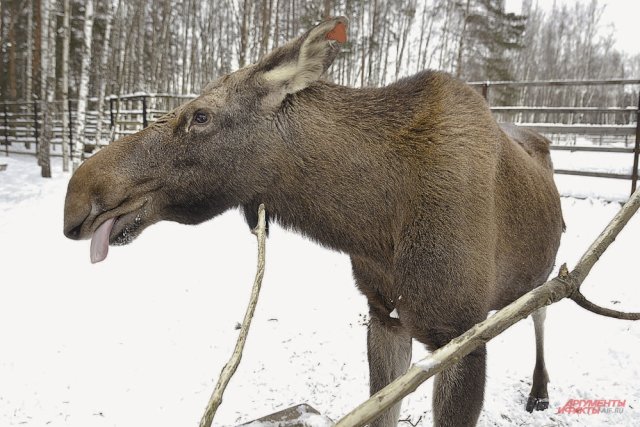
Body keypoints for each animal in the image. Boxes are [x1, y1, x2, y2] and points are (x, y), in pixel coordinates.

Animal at [65, 17, 564, 427]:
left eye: (200, 116)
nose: (77, 198)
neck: (373, 226)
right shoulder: (384, 315)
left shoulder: (461, 334)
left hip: (543, 269)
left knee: (543, 311)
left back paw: (540, 391)